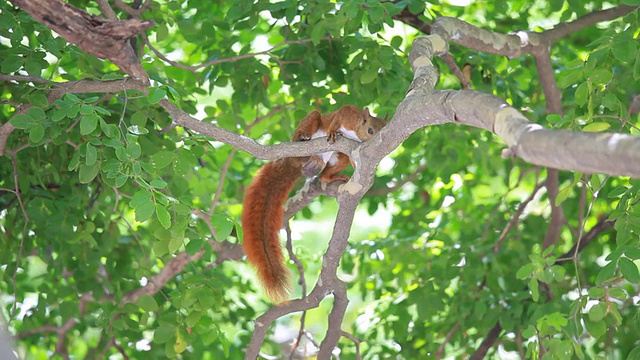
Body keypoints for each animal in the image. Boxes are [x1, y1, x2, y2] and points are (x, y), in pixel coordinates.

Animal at [242, 104, 388, 300]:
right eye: (370, 129)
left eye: (384, 127)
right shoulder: (348, 115)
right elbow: (339, 115)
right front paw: (333, 132)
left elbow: (354, 158)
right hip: (309, 126)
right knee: (311, 123)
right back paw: (302, 138)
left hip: (337, 158)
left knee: (324, 174)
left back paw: (327, 173)